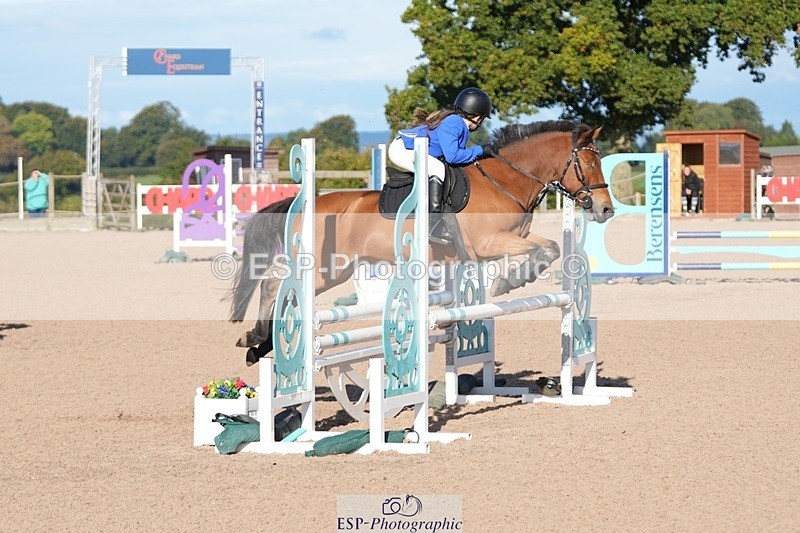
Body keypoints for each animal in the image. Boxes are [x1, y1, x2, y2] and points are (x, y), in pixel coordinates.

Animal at [229, 120, 614, 363]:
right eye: (589, 164)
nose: (605, 209)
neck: (506, 181)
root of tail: (306, 203)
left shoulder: (513, 237)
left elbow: (551, 248)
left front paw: (518, 278)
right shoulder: (488, 243)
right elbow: (537, 251)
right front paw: (508, 281)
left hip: (337, 270)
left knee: (277, 285)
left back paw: (257, 345)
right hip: (324, 265)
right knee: (274, 284)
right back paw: (256, 338)